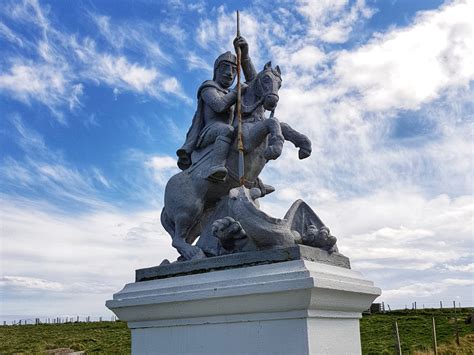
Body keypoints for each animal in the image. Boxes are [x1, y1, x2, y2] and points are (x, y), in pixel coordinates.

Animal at [161, 62, 312, 262]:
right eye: (266, 79)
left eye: (279, 83)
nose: (272, 101)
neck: (249, 117)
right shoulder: (248, 139)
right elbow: (273, 122)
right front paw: (275, 147)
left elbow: (282, 124)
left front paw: (305, 145)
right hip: (188, 209)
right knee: (177, 238)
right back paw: (194, 253)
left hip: (202, 215)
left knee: (185, 237)